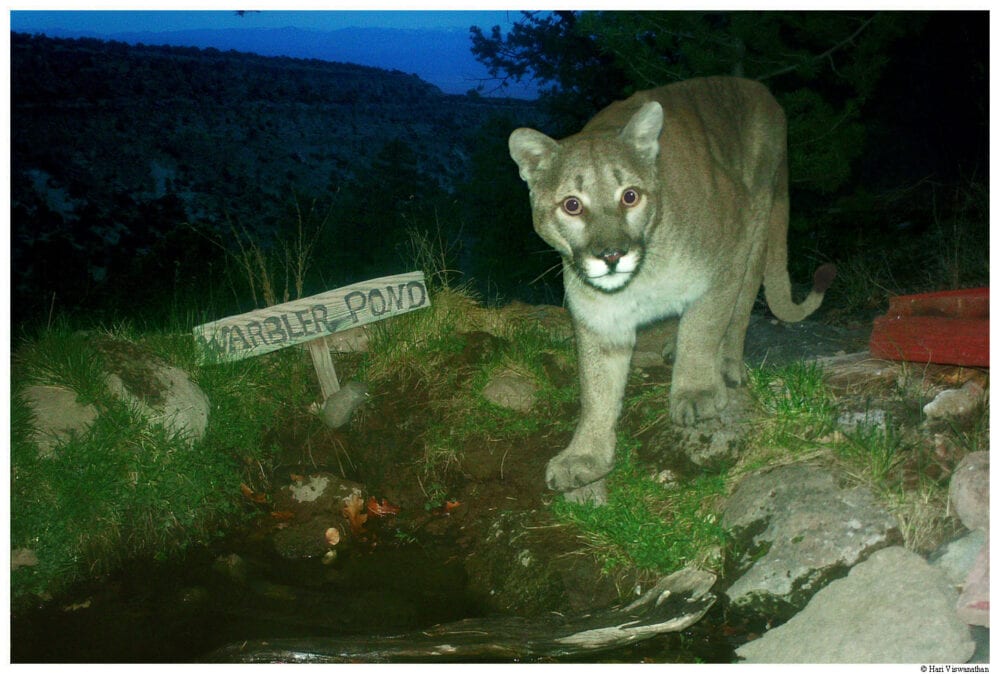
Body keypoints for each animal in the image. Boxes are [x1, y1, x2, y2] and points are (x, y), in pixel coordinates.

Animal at [508, 77, 836, 498]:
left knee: (741, 308)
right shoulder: (598, 317)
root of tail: (757, 88)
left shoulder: (727, 257)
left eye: (630, 196)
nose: (611, 255)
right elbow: (596, 387)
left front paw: (695, 393)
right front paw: (584, 456)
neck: (642, 278)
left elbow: (704, 327)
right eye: (572, 205)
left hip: (758, 224)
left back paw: (726, 364)